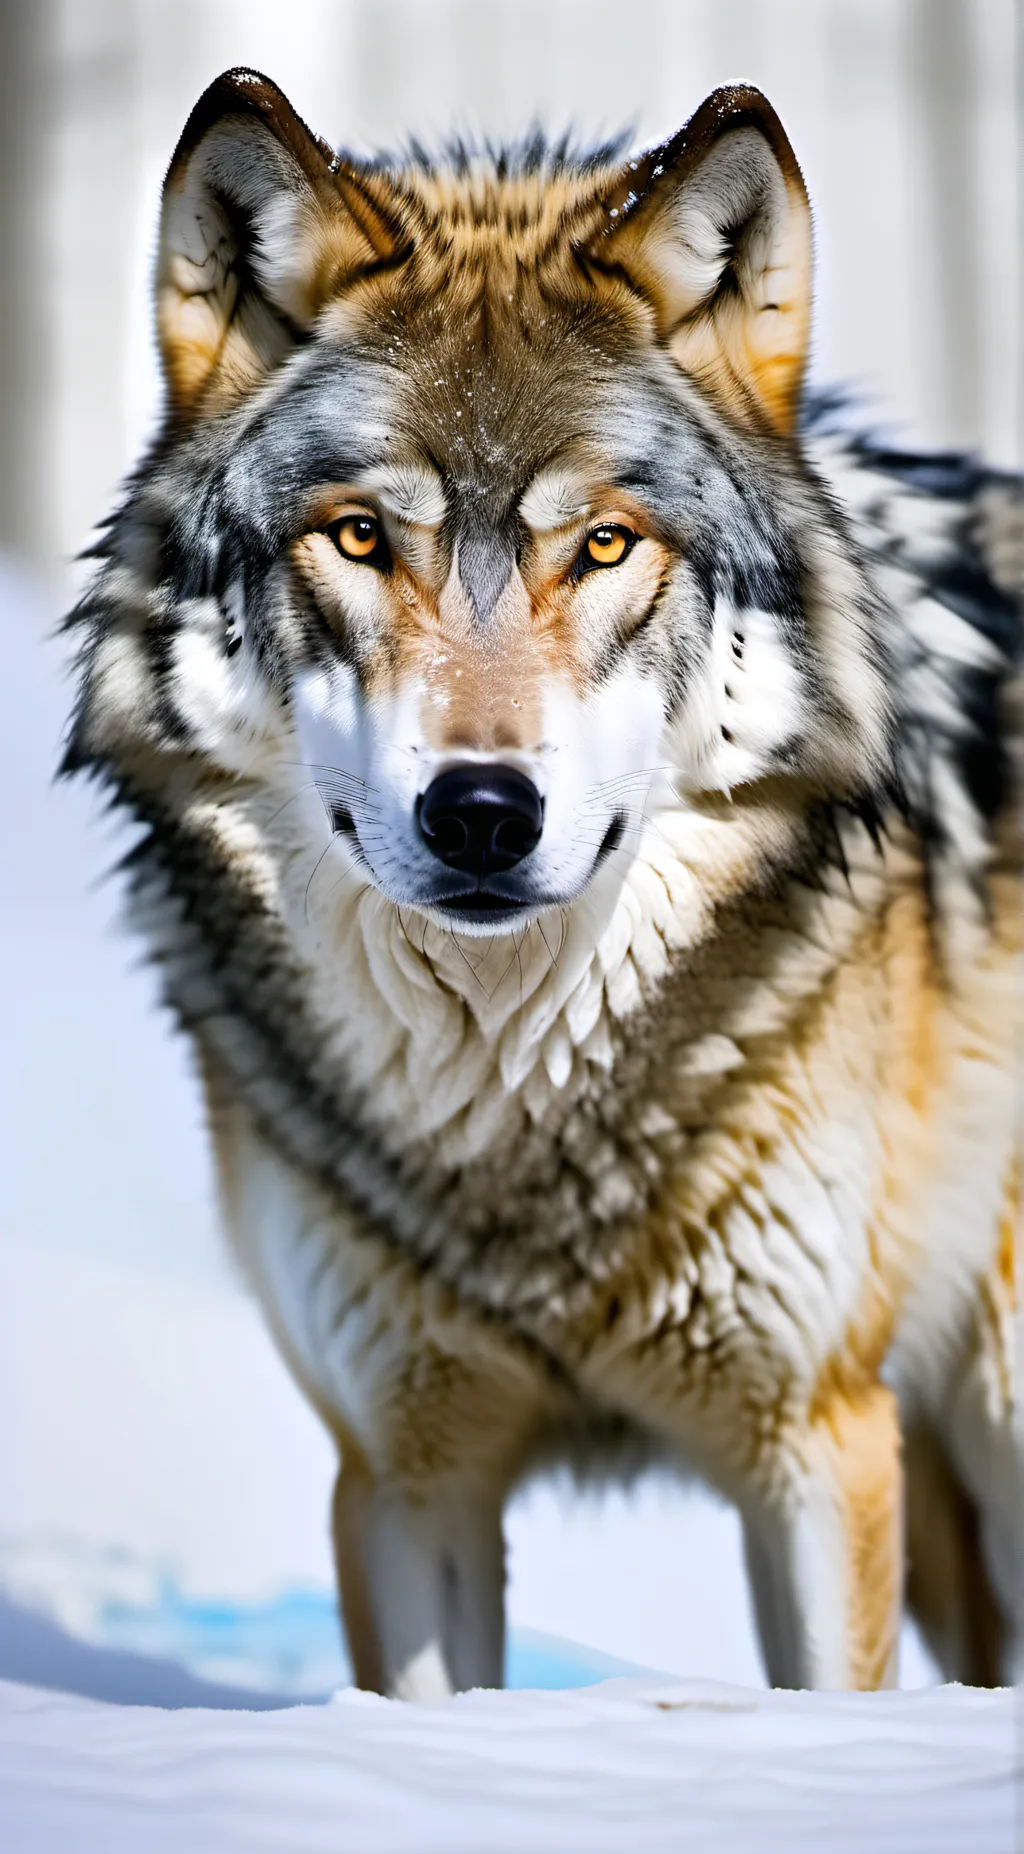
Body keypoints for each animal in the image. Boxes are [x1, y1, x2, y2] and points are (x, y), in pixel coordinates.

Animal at [64, 69, 1020, 1697]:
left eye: (607, 545)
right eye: (360, 536)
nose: (481, 814)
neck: (515, 1105)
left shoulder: (818, 1439)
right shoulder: (403, 1473)